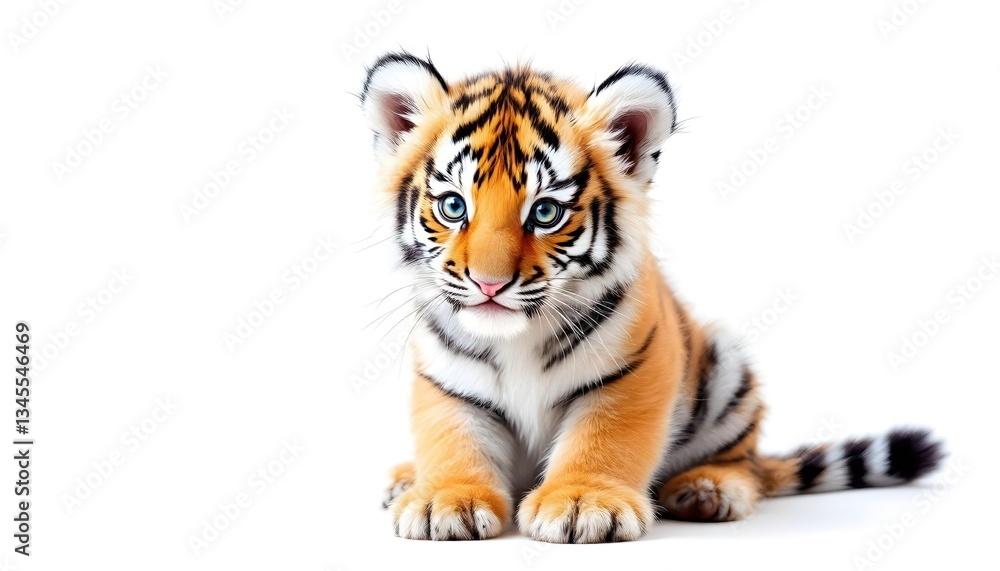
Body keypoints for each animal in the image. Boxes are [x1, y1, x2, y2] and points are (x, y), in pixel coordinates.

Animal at [360, 52, 944, 543]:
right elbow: (453, 439)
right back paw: (406, 478)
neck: (517, 337)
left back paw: (708, 490)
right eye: (454, 206)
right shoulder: (445, 379)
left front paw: (582, 504)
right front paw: (443, 501)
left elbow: (603, 437)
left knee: (749, 466)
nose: (489, 284)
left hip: (727, 371)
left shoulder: (634, 369)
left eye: (545, 212)